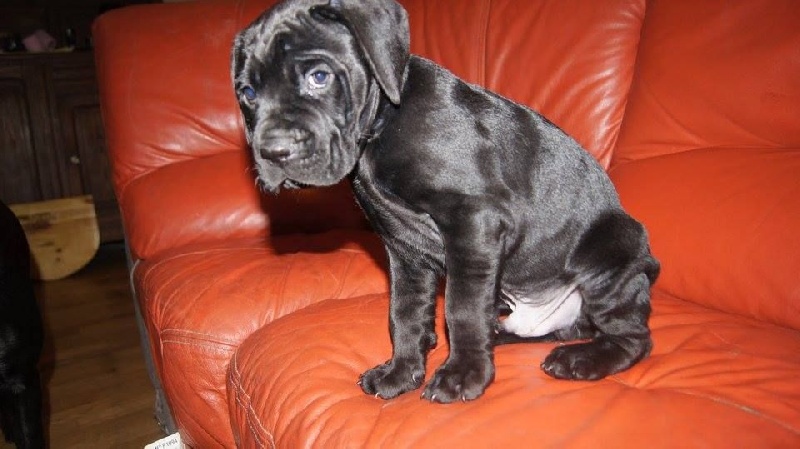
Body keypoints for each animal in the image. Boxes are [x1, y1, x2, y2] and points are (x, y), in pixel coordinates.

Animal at [232, 0, 659, 403]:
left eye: (318, 77)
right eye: (248, 94)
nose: (273, 152)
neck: (382, 125)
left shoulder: (474, 222)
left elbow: (462, 307)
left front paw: (463, 375)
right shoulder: (404, 250)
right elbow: (404, 313)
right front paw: (401, 371)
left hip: (608, 254)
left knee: (632, 337)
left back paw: (582, 359)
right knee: (562, 330)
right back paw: (500, 335)